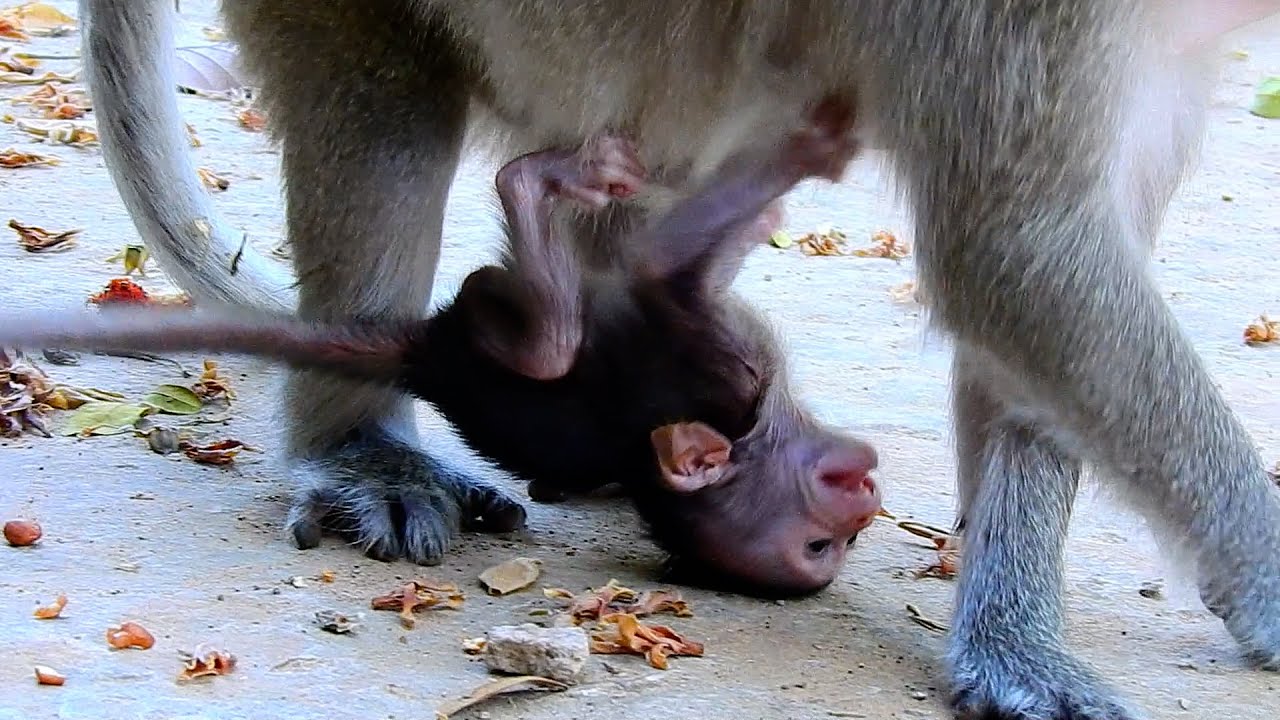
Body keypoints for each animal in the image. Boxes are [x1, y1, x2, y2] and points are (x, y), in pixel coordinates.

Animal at [0, 96, 882, 595]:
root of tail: (428, 352)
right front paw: (813, 144)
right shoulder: (724, 377)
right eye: (821, 542)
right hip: (495, 319)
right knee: (553, 340)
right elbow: (659, 266)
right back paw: (538, 184)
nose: (869, 499)